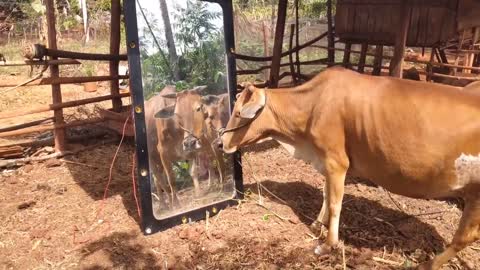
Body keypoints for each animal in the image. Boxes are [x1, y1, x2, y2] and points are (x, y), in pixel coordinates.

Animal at [219, 66, 480, 270]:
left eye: (239, 113)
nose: (221, 142)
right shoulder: (326, 161)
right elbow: (326, 194)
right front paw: (317, 224)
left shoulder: (336, 162)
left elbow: (335, 203)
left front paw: (327, 245)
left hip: (475, 194)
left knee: (465, 236)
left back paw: (427, 264)